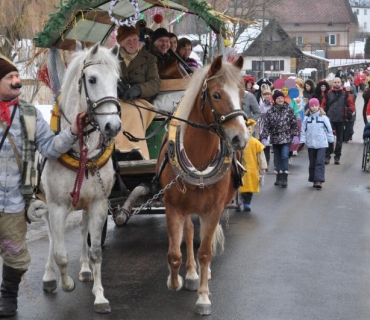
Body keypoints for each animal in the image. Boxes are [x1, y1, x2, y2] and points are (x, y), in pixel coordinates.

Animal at [40, 42, 121, 312]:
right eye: (92, 79)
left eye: (117, 81)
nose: (113, 127)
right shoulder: (57, 206)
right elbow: (60, 254)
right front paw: (65, 284)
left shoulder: (98, 203)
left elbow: (96, 251)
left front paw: (100, 295)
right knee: (52, 237)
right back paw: (49, 276)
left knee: (84, 228)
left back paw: (85, 269)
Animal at [156, 55, 249, 316]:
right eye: (216, 95)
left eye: (242, 92)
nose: (241, 138)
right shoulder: (173, 207)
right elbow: (174, 253)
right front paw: (175, 280)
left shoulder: (213, 210)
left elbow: (205, 252)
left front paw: (204, 298)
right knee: (188, 234)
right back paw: (190, 274)